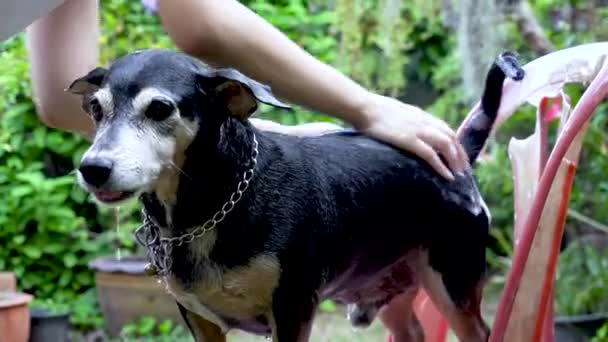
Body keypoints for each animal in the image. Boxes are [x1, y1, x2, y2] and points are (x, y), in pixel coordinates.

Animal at [71, 48, 524, 342]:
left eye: (160, 109)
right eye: (95, 109)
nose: (92, 169)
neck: (211, 206)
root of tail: (459, 155)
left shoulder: (291, 311)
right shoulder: (200, 320)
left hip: (454, 286)